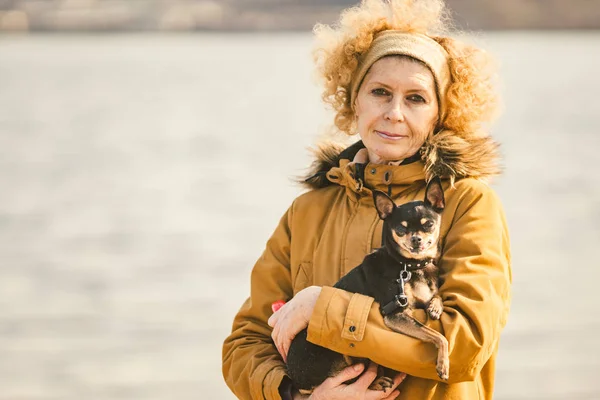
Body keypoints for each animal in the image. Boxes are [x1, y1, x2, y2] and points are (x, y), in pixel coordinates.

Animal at [288, 177, 450, 394]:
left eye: (429, 224)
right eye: (401, 230)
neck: (409, 266)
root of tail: (294, 379)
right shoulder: (395, 314)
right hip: (336, 351)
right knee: (345, 378)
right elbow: (439, 336)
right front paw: (443, 365)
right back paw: (375, 382)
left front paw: (435, 306)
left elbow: (436, 297)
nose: (416, 239)